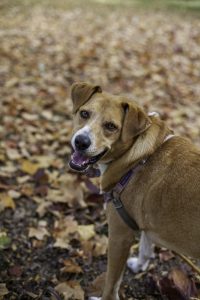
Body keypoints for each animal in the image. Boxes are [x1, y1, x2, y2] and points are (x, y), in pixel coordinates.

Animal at [69, 82, 200, 300]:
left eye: (111, 126)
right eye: (84, 113)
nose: (80, 141)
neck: (137, 158)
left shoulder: (119, 235)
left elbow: (111, 284)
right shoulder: (145, 223)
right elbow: (145, 248)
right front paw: (139, 266)